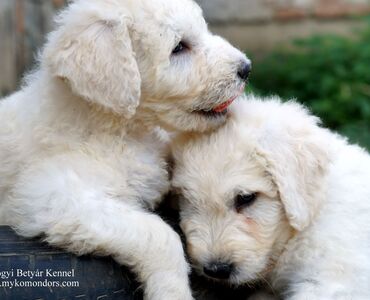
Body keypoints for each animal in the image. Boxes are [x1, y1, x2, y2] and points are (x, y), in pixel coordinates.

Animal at [0, 0, 251, 300]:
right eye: (179, 47)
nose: (246, 68)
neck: (120, 130)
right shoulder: (53, 196)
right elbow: (159, 233)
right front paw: (172, 291)